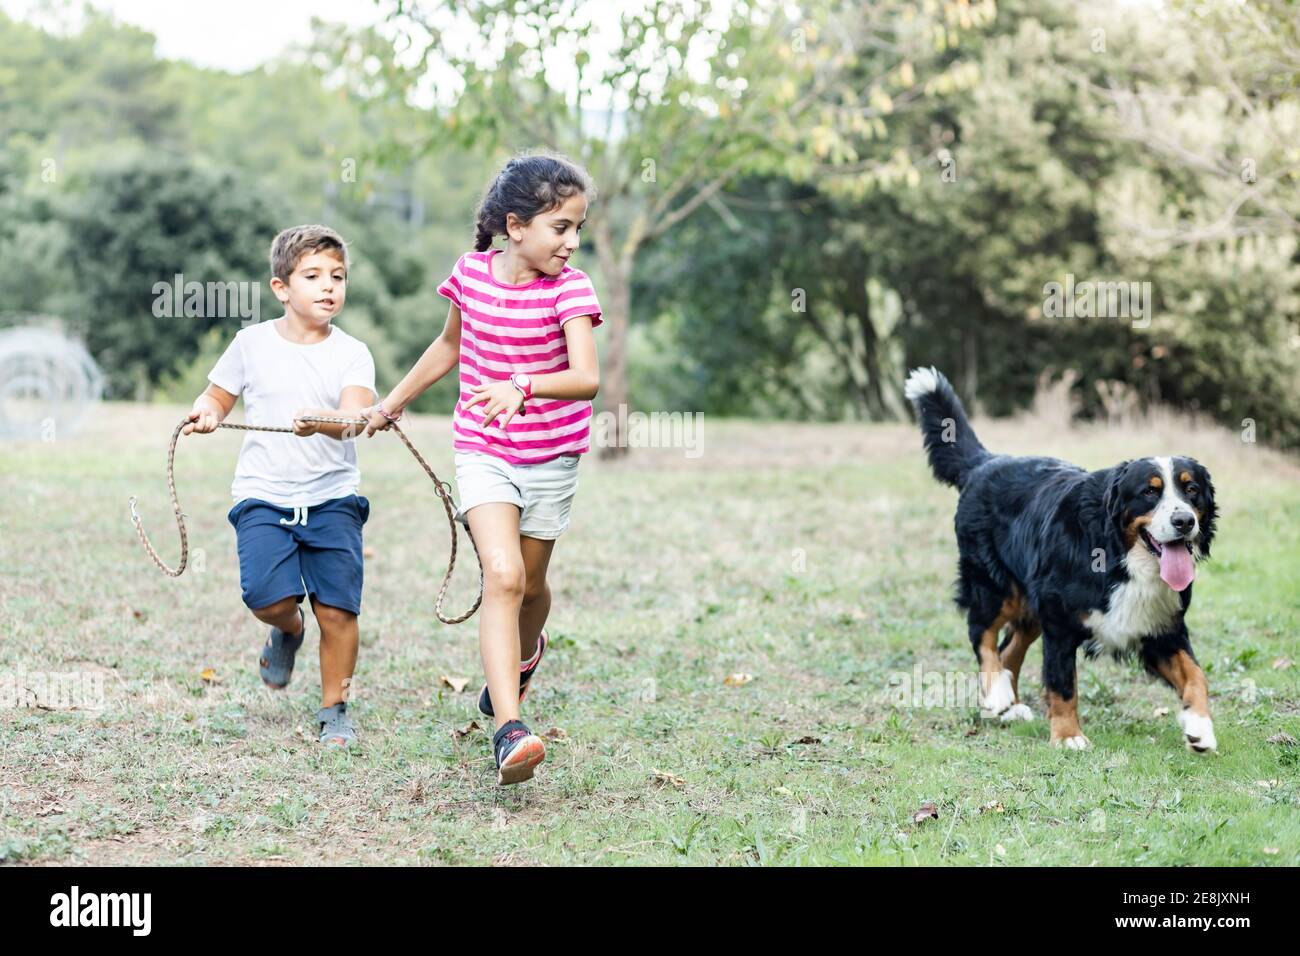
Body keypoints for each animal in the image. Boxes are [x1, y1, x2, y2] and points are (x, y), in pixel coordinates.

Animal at [904, 369, 1216, 749]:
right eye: (1150, 492)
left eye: (1191, 490)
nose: (1184, 521)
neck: (1120, 557)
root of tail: (987, 461)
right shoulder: (1059, 622)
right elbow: (1063, 683)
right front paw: (1068, 736)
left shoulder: (1161, 628)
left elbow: (1196, 675)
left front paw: (1199, 726)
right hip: (995, 587)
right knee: (982, 634)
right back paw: (997, 692)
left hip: (1030, 604)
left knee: (1009, 649)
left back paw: (1009, 706)